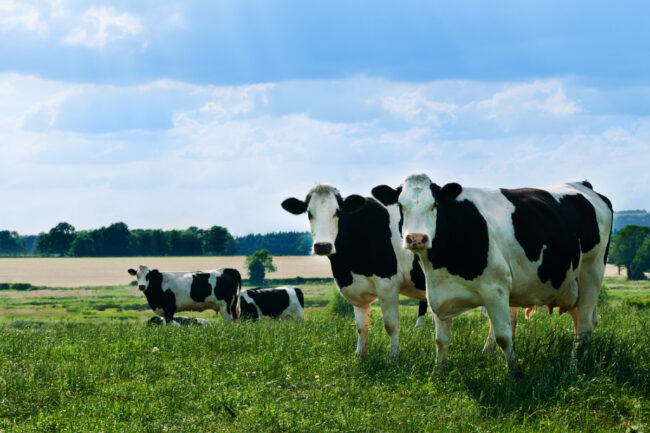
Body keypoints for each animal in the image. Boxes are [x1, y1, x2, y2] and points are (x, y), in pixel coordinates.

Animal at [280, 184, 504, 356]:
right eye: (309, 213)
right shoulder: (355, 288)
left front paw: (394, 357)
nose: (323, 246)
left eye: (338, 212)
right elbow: (361, 326)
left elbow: (391, 324)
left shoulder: (387, 283)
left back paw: (487, 349)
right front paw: (359, 356)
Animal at [372, 174, 612, 366]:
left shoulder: (495, 289)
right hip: (570, 282)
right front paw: (437, 372)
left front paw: (514, 372)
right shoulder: (437, 293)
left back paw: (576, 363)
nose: (416, 238)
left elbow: (504, 336)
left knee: (585, 324)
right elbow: (441, 340)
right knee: (582, 321)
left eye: (434, 205)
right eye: (401, 205)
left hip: (592, 270)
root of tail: (584, 185)